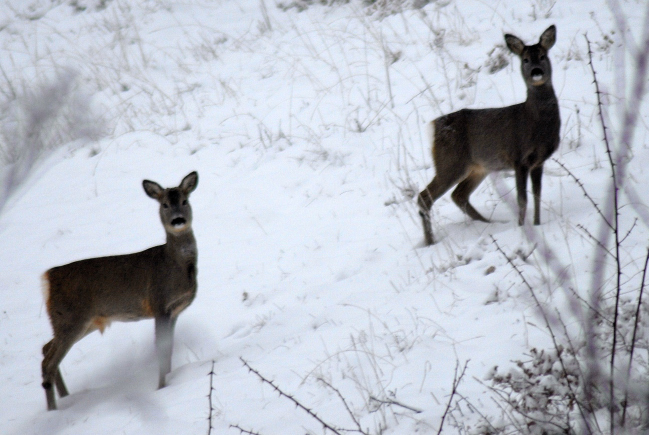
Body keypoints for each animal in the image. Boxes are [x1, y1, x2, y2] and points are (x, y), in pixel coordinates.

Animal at [41, 171, 197, 412]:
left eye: (184, 201)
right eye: (164, 204)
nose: (178, 220)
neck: (174, 266)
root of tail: (48, 277)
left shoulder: (175, 310)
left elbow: (169, 348)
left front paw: (170, 380)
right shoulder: (159, 303)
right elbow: (160, 349)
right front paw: (161, 387)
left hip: (78, 322)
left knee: (45, 349)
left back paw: (66, 399)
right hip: (71, 319)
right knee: (48, 363)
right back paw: (54, 412)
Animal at [418, 26, 560, 245]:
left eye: (543, 56)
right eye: (525, 59)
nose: (537, 72)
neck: (535, 124)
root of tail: (433, 127)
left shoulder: (539, 161)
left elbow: (537, 194)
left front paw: (537, 224)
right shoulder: (518, 157)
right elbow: (522, 198)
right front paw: (522, 227)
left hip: (478, 167)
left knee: (459, 195)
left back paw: (490, 224)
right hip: (450, 162)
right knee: (425, 197)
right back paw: (431, 241)